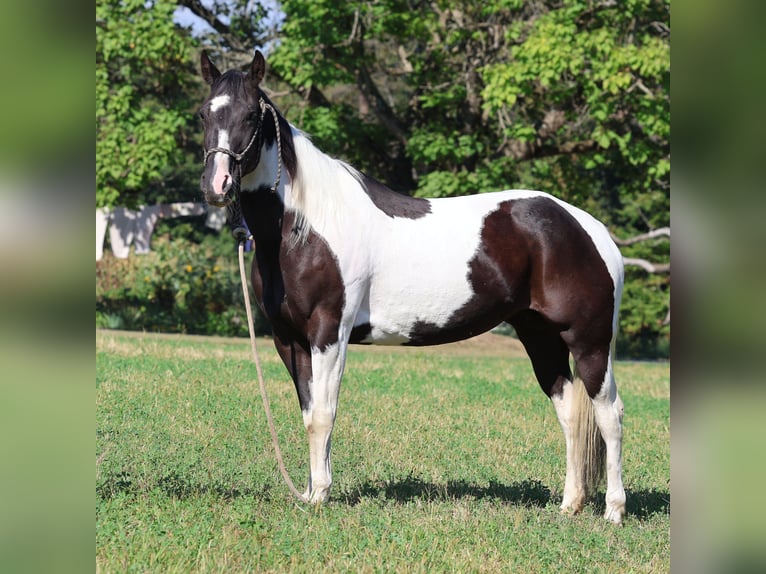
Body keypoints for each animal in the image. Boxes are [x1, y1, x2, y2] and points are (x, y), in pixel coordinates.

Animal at [197, 50, 626, 524]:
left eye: (250, 115)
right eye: (204, 113)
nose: (216, 186)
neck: (306, 227)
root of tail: (591, 229)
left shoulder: (329, 332)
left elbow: (324, 414)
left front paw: (322, 495)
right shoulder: (288, 339)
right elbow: (308, 413)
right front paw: (309, 494)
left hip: (589, 341)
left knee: (609, 415)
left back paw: (613, 511)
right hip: (540, 336)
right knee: (569, 412)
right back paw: (570, 505)